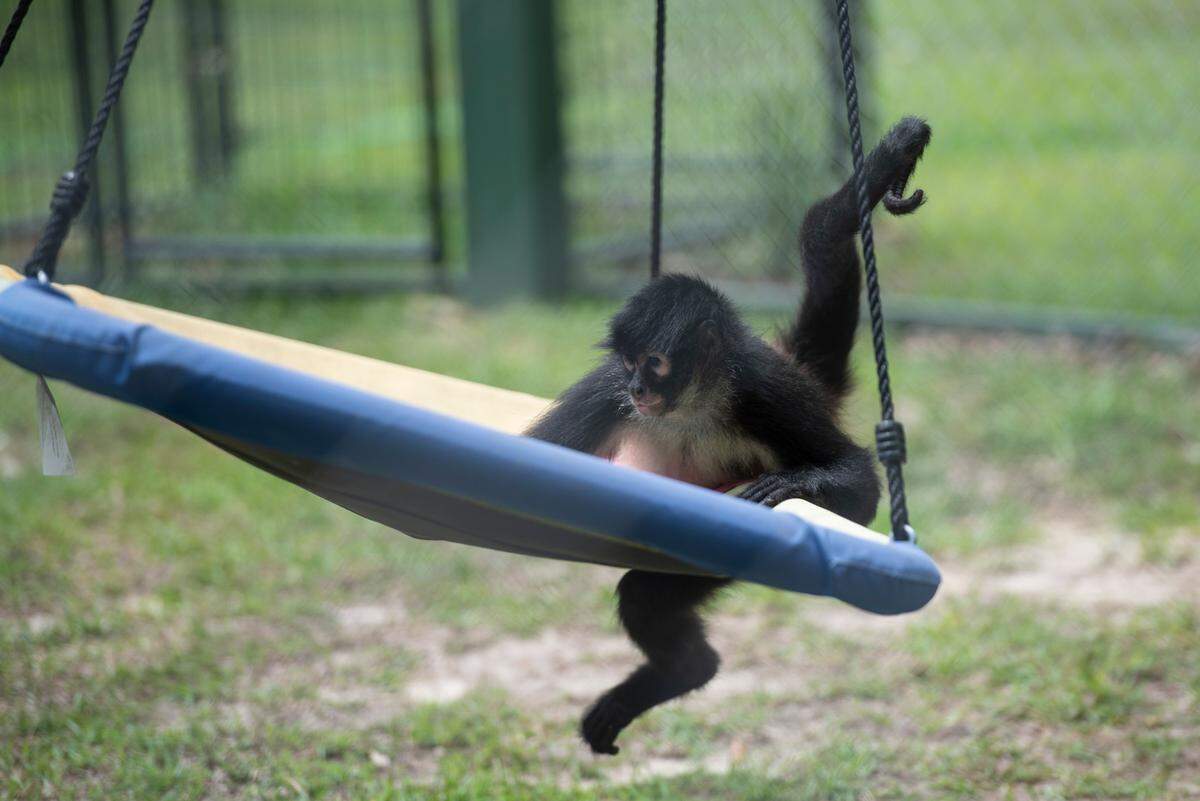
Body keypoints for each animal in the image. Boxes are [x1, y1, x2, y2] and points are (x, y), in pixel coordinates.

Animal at [525, 117, 931, 755]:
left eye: (656, 363)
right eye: (630, 362)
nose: (637, 386)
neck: (690, 406)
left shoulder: (761, 390)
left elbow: (863, 489)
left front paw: (796, 484)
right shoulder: (605, 389)